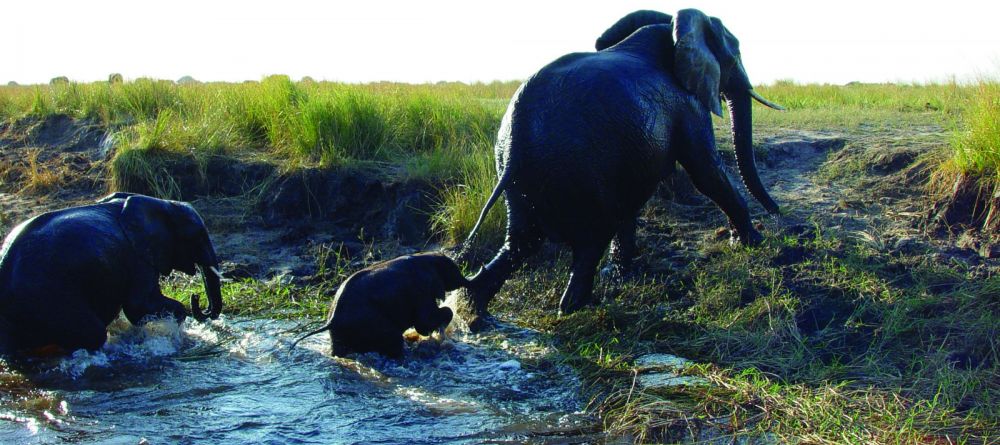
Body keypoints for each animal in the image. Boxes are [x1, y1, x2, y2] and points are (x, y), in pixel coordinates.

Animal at [0, 192, 223, 354]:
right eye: (198, 236)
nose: (196, 297)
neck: (160, 204)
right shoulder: (136, 257)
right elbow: (138, 306)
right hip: (48, 298)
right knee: (93, 333)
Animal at [291, 252, 468, 358]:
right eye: (454, 270)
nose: (468, 281)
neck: (426, 256)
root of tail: (332, 320)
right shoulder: (421, 289)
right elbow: (424, 323)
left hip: (344, 331)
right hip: (369, 322)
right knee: (394, 340)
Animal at [462, 9, 784, 322]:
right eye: (735, 55)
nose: (776, 213)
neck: (672, 27)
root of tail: (516, 141)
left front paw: (621, 273)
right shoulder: (686, 104)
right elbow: (706, 172)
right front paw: (754, 242)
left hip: (521, 174)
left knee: (521, 241)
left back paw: (477, 312)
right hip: (579, 170)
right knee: (592, 237)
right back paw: (576, 306)